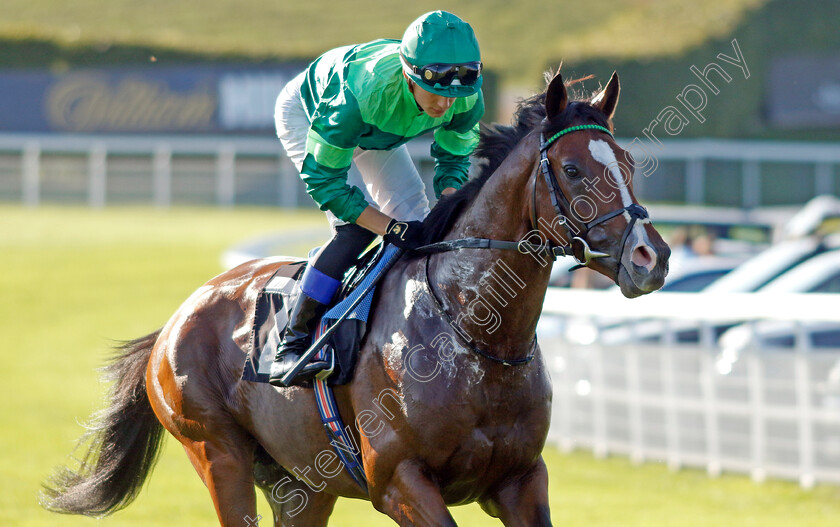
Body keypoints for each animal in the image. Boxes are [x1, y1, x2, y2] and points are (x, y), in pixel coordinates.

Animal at [42, 71, 668, 527]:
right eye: (572, 169)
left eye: (628, 165)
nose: (651, 256)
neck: (474, 334)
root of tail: (175, 321)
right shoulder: (399, 482)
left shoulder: (521, 480)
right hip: (216, 452)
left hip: (301, 483)